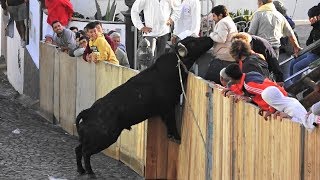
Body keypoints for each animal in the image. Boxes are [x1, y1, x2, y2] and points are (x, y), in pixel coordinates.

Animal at [73, 36, 211, 176]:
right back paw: (90, 172)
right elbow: (171, 124)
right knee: (85, 152)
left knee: (78, 149)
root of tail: (88, 112)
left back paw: (81, 170)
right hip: (103, 138)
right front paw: (177, 137)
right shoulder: (168, 108)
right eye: (193, 42)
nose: (209, 38)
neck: (174, 66)